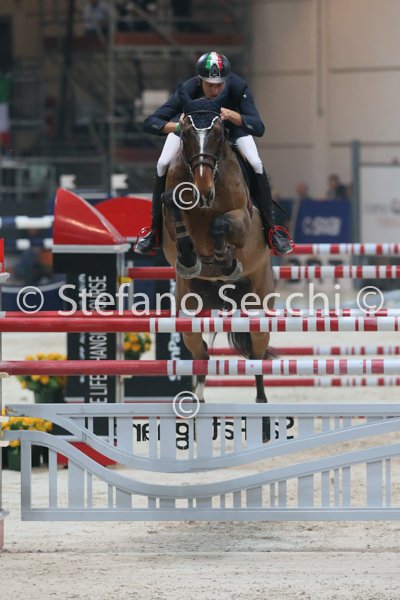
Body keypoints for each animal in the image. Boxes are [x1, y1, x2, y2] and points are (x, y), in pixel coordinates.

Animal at [161, 85, 275, 438]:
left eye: (217, 133)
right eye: (184, 133)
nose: (203, 190)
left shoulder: (242, 219)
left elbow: (221, 225)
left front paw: (225, 259)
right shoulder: (172, 213)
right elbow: (171, 205)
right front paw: (189, 257)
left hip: (258, 308)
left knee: (256, 356)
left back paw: (263, 412)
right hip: (190, 315)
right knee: (202, 355)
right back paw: (194, 404)